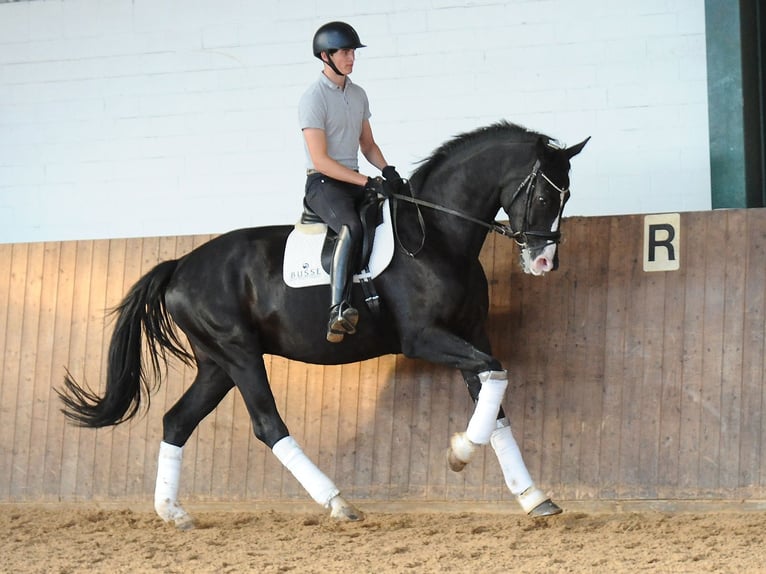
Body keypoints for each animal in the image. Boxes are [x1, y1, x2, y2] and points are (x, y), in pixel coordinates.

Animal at [60, 121, 592, 532]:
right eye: (544, 194)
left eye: (567, 196)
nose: (544, 261)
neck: (436, 235)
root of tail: (180, 266)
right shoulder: (424, 339)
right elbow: (495, 375)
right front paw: (461, 451)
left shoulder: (471, 334)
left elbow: (495, 394)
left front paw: (532, 496)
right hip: (239, 355)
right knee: (268, 424)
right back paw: (337, 502)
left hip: (215, 364)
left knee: (177, 421)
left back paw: (173, 513)